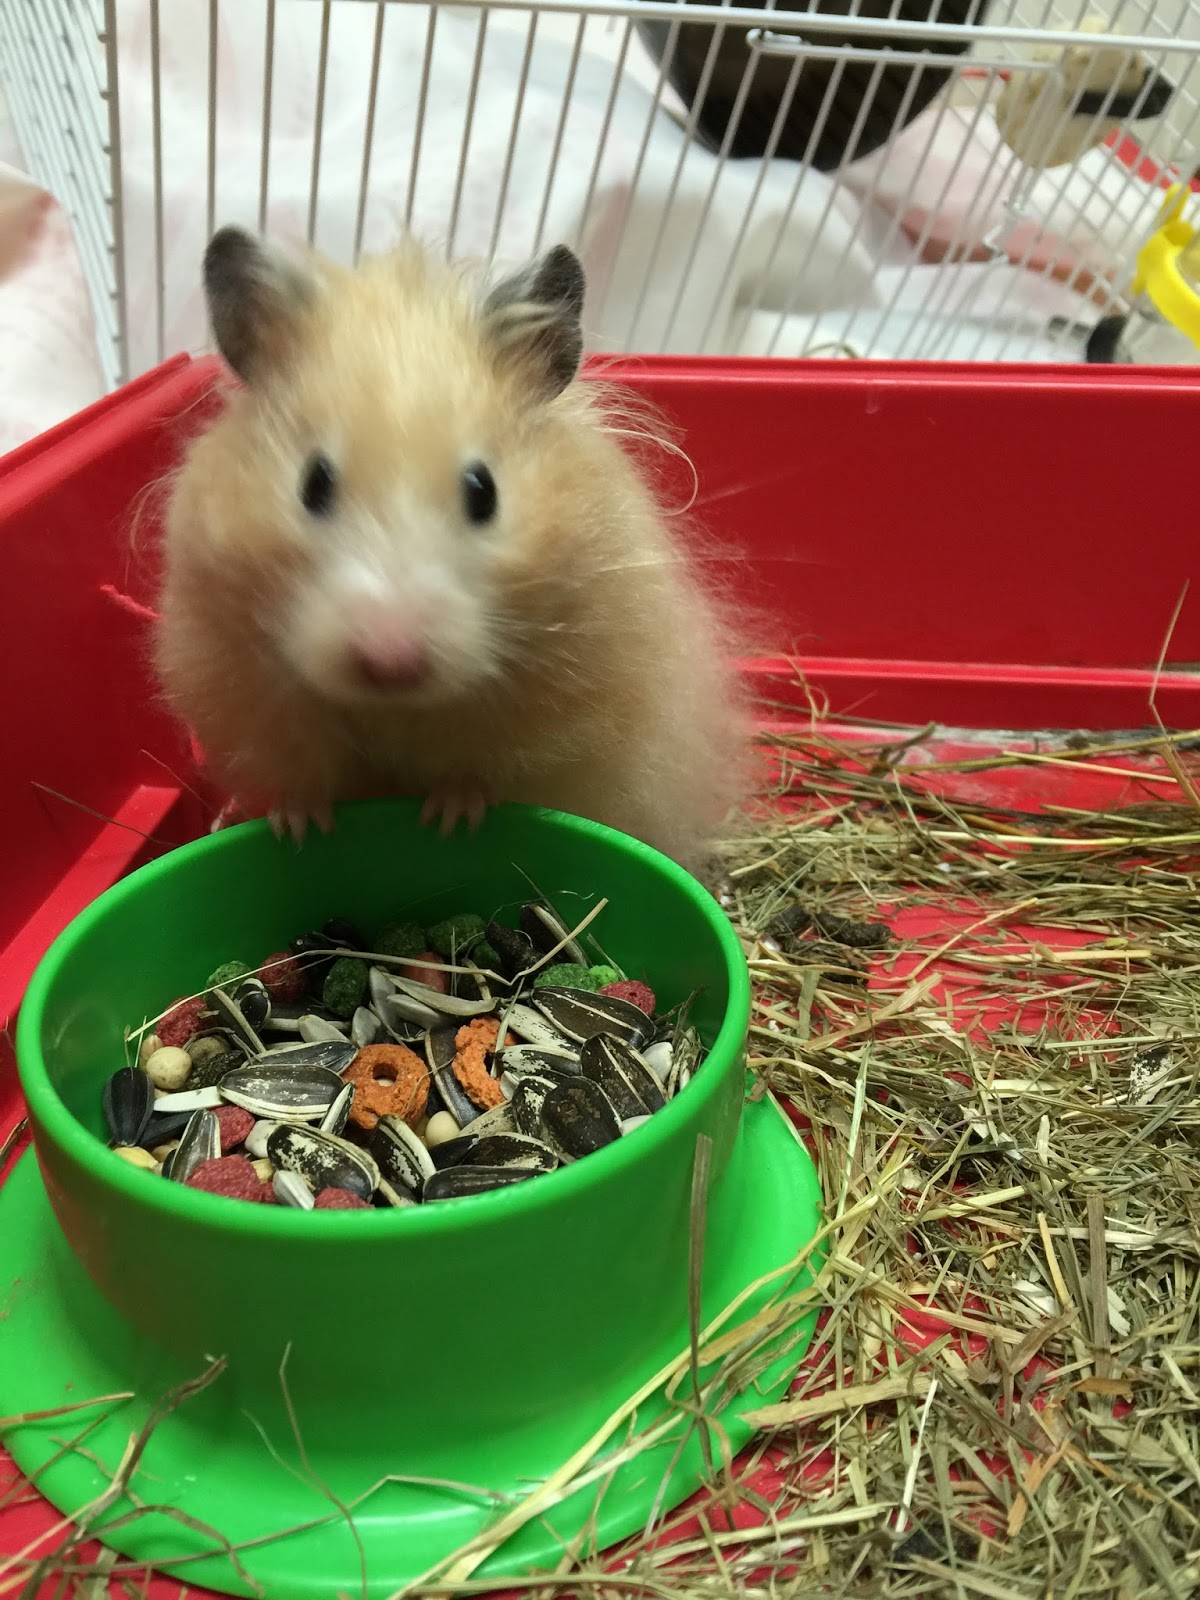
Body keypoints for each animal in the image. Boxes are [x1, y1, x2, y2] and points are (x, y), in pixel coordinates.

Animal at [154, 226, 752, 876]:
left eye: (483, 491)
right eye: (312, 484)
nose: (391, 663)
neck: (396, 707)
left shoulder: (559, 706)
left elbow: (486, 766)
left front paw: (450, 818)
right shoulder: (249, 694)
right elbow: (302, 770)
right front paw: (299, 825)